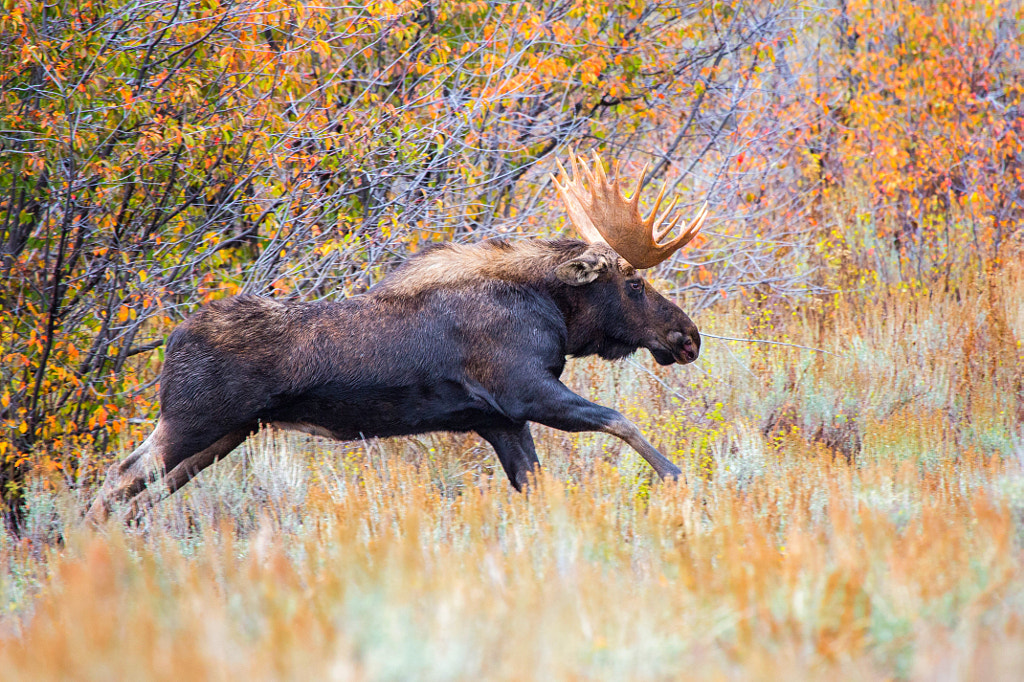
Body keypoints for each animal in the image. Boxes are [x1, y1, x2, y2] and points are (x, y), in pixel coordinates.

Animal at [88, 150, 708, 520]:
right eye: (633, 283)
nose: (688, 336)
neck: (550, 311)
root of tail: (171, 348)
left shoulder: (498, 420)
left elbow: (537, 485)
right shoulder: (525, 391)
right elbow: (619, 420)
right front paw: (679, 478)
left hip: (222, 434)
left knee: (139, 491)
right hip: (193, 423)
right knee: (117, 481)